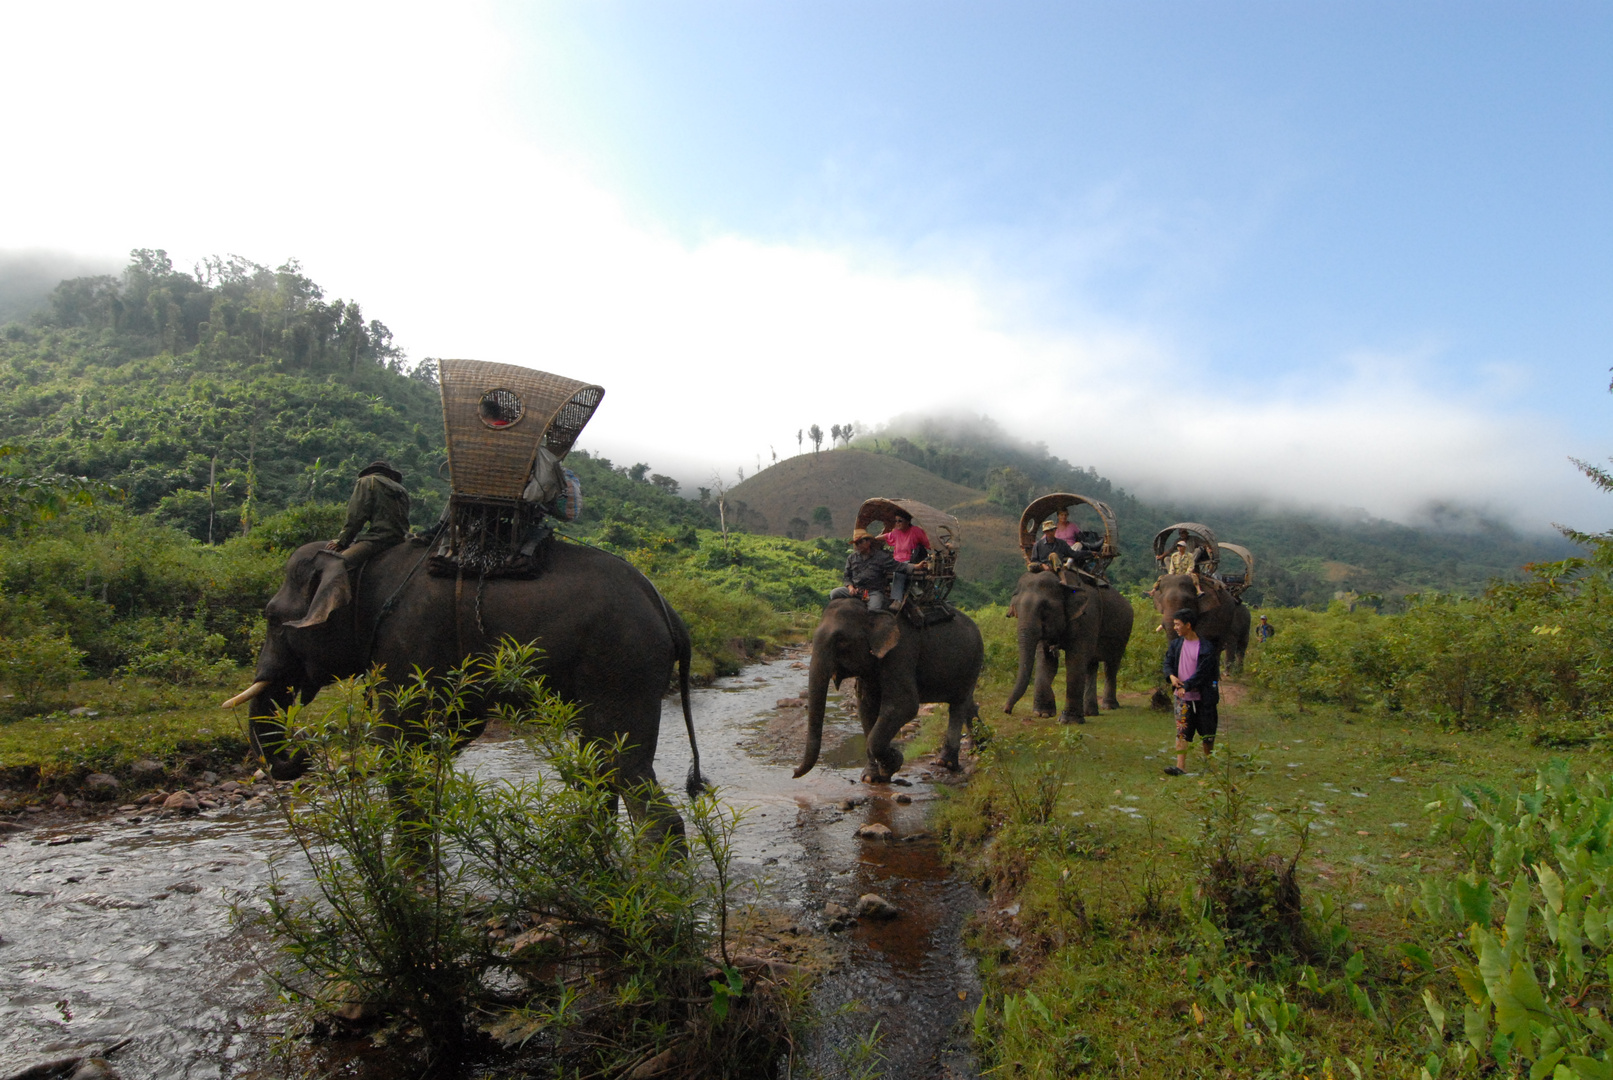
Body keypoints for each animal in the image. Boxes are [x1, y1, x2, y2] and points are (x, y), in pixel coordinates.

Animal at [227, 541, 706, 838]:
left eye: (272, 618)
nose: (300, 756)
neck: (358, 559)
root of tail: (669, 612)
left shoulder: (405, 641)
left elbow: (397, 738)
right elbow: (451, 731)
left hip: (623, 666)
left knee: (624, 768)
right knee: (600, 768)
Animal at [793, 599, 980, 786]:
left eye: (841, 642)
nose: (794, 772)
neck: (870, 612)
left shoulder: (901, 650)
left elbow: (905, 705)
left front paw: (894, 762)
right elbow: (866, 707)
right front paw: (872, 777)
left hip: (972, 663)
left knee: (958, 705)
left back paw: (946, 763)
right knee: (968, 704)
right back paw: (979, 746)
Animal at [1006, 570, 1135, 722]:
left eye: (1044, 607)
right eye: (1015, 609)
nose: (1007, 710)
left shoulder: (1087, 617)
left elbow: (1075, 658)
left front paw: (1068, 721)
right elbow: (1046, 660)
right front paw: (1043, 713)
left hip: (1123, 631)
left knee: (1111, 665)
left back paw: (1109, 706)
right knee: (1091, 665)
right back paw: (1090, 713)